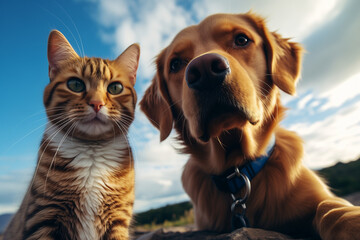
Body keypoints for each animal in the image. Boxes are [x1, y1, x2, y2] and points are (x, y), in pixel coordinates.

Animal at [2, 30, 141, 240]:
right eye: (75, 84)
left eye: (115, 88)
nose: (97, 103)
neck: (92, 152)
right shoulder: (43, 217)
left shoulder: (118, 220)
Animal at [139, 12, 360, 239]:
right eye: (175, 64)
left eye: (241, 39)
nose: (204, 69)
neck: (239, 169)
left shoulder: (321, 197)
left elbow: (330, 207)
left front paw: (352, 223)